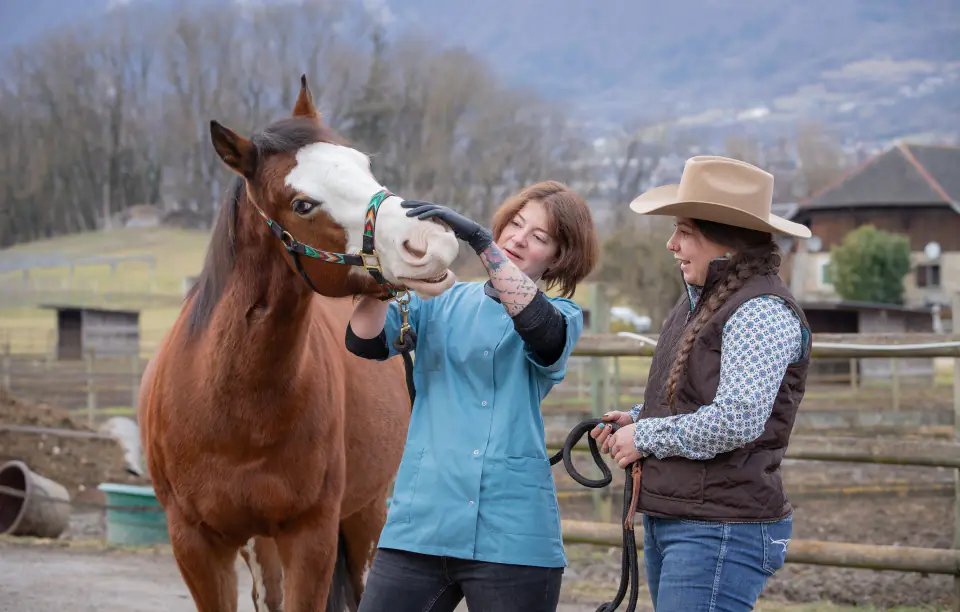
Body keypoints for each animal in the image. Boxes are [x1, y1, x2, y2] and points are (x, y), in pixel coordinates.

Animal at [138, 76, 461, 612]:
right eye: (303, 204)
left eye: (364, 165)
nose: (430, 242)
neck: (234, 408)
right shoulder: (196, 544)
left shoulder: (312, 537)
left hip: (367, 516)